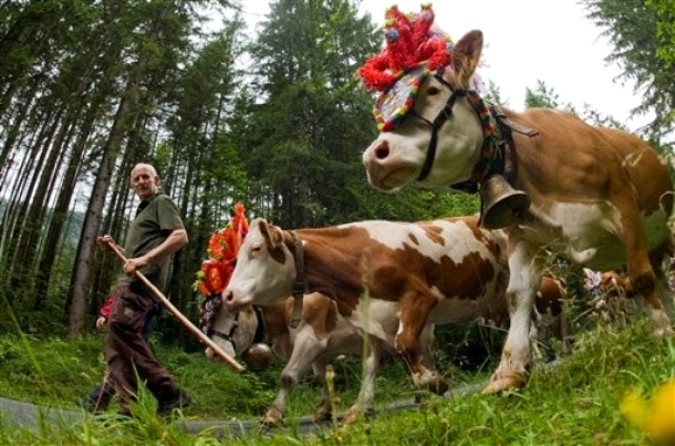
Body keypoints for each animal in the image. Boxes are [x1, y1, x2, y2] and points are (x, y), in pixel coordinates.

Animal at [362, 30, 672, 394]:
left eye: (433, 91)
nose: (373, 156)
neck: (532, 164)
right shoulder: (523, 236)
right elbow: (517, 296)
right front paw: (507, 373)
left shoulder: (625, 205)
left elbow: (640, 277)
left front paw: (663, 332)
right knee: (662, 274)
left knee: (656, 271)